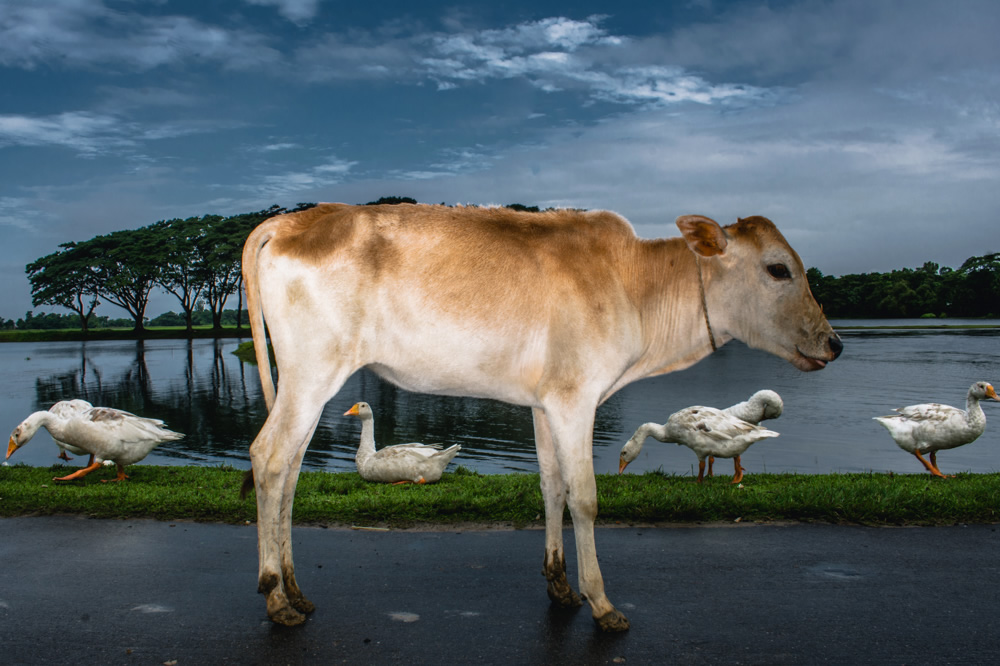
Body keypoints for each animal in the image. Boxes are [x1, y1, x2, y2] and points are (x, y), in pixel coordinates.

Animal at [242, 201, 844, 628]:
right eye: (778, 270)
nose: (835, 342)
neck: (637, 289)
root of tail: (293, 220)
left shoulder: (546, 400)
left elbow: (552, 485)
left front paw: (560, 586)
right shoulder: (577, 397)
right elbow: (586, 498)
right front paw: (601, 603)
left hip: (310, 382)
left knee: (290, 473)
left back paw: (296, 590)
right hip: (311, 373)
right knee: (268, 458)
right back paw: (275, 597)